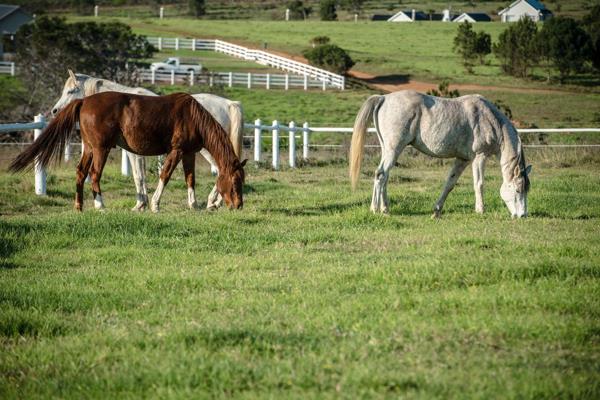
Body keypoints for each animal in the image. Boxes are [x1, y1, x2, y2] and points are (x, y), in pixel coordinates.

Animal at [8, 92, 246, 211]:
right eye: (235, 182)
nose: (238, 205)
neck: (191, 116)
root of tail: (84, 100)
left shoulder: (188, 153)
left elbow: (190, 179)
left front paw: (194, 205)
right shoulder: (176, 151)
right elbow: (165, 175)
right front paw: (154, 205)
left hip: (89, 148)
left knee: (81, 173)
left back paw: (79, 206)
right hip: (101, 149)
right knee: (94, 175)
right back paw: (100, 205)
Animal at [49, 69, 241, 212]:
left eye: (70, 91)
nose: (55, 110)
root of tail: (229, 103)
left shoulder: (137, 153)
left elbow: (140, 176)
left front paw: (143, 203)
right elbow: (140, 175)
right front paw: (142, 204)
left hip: (206, 150)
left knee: (219, 169)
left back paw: (213, 202)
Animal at [350, 90, 532, 219]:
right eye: (517, 190)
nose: (522, 215)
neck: (491, 120)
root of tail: (384, 98)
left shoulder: (462, 159)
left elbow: (449, 184)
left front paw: (436, 211)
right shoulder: (479, 156)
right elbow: (479, 184)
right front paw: (480, 210)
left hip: (388, 150)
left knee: (384, 176)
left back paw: (384, 208)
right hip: (394, 149)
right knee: (381, 174)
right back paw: (376, 209)